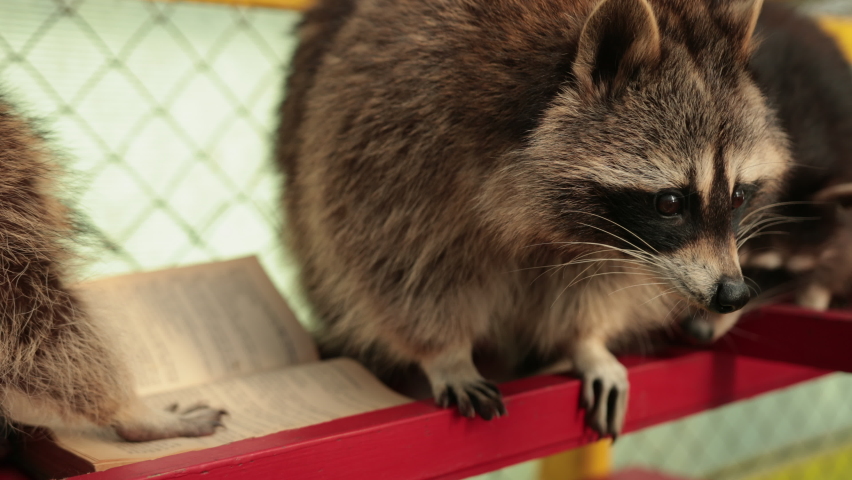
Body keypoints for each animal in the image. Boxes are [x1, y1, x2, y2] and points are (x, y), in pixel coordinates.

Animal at [278, 0, 789, 437]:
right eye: (670, 202)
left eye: (738, 196)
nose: (732, 294)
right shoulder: (397, 138)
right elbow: (397, 262)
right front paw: (445, 352)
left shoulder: (615, 242)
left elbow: (594, 281)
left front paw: (585, 342)